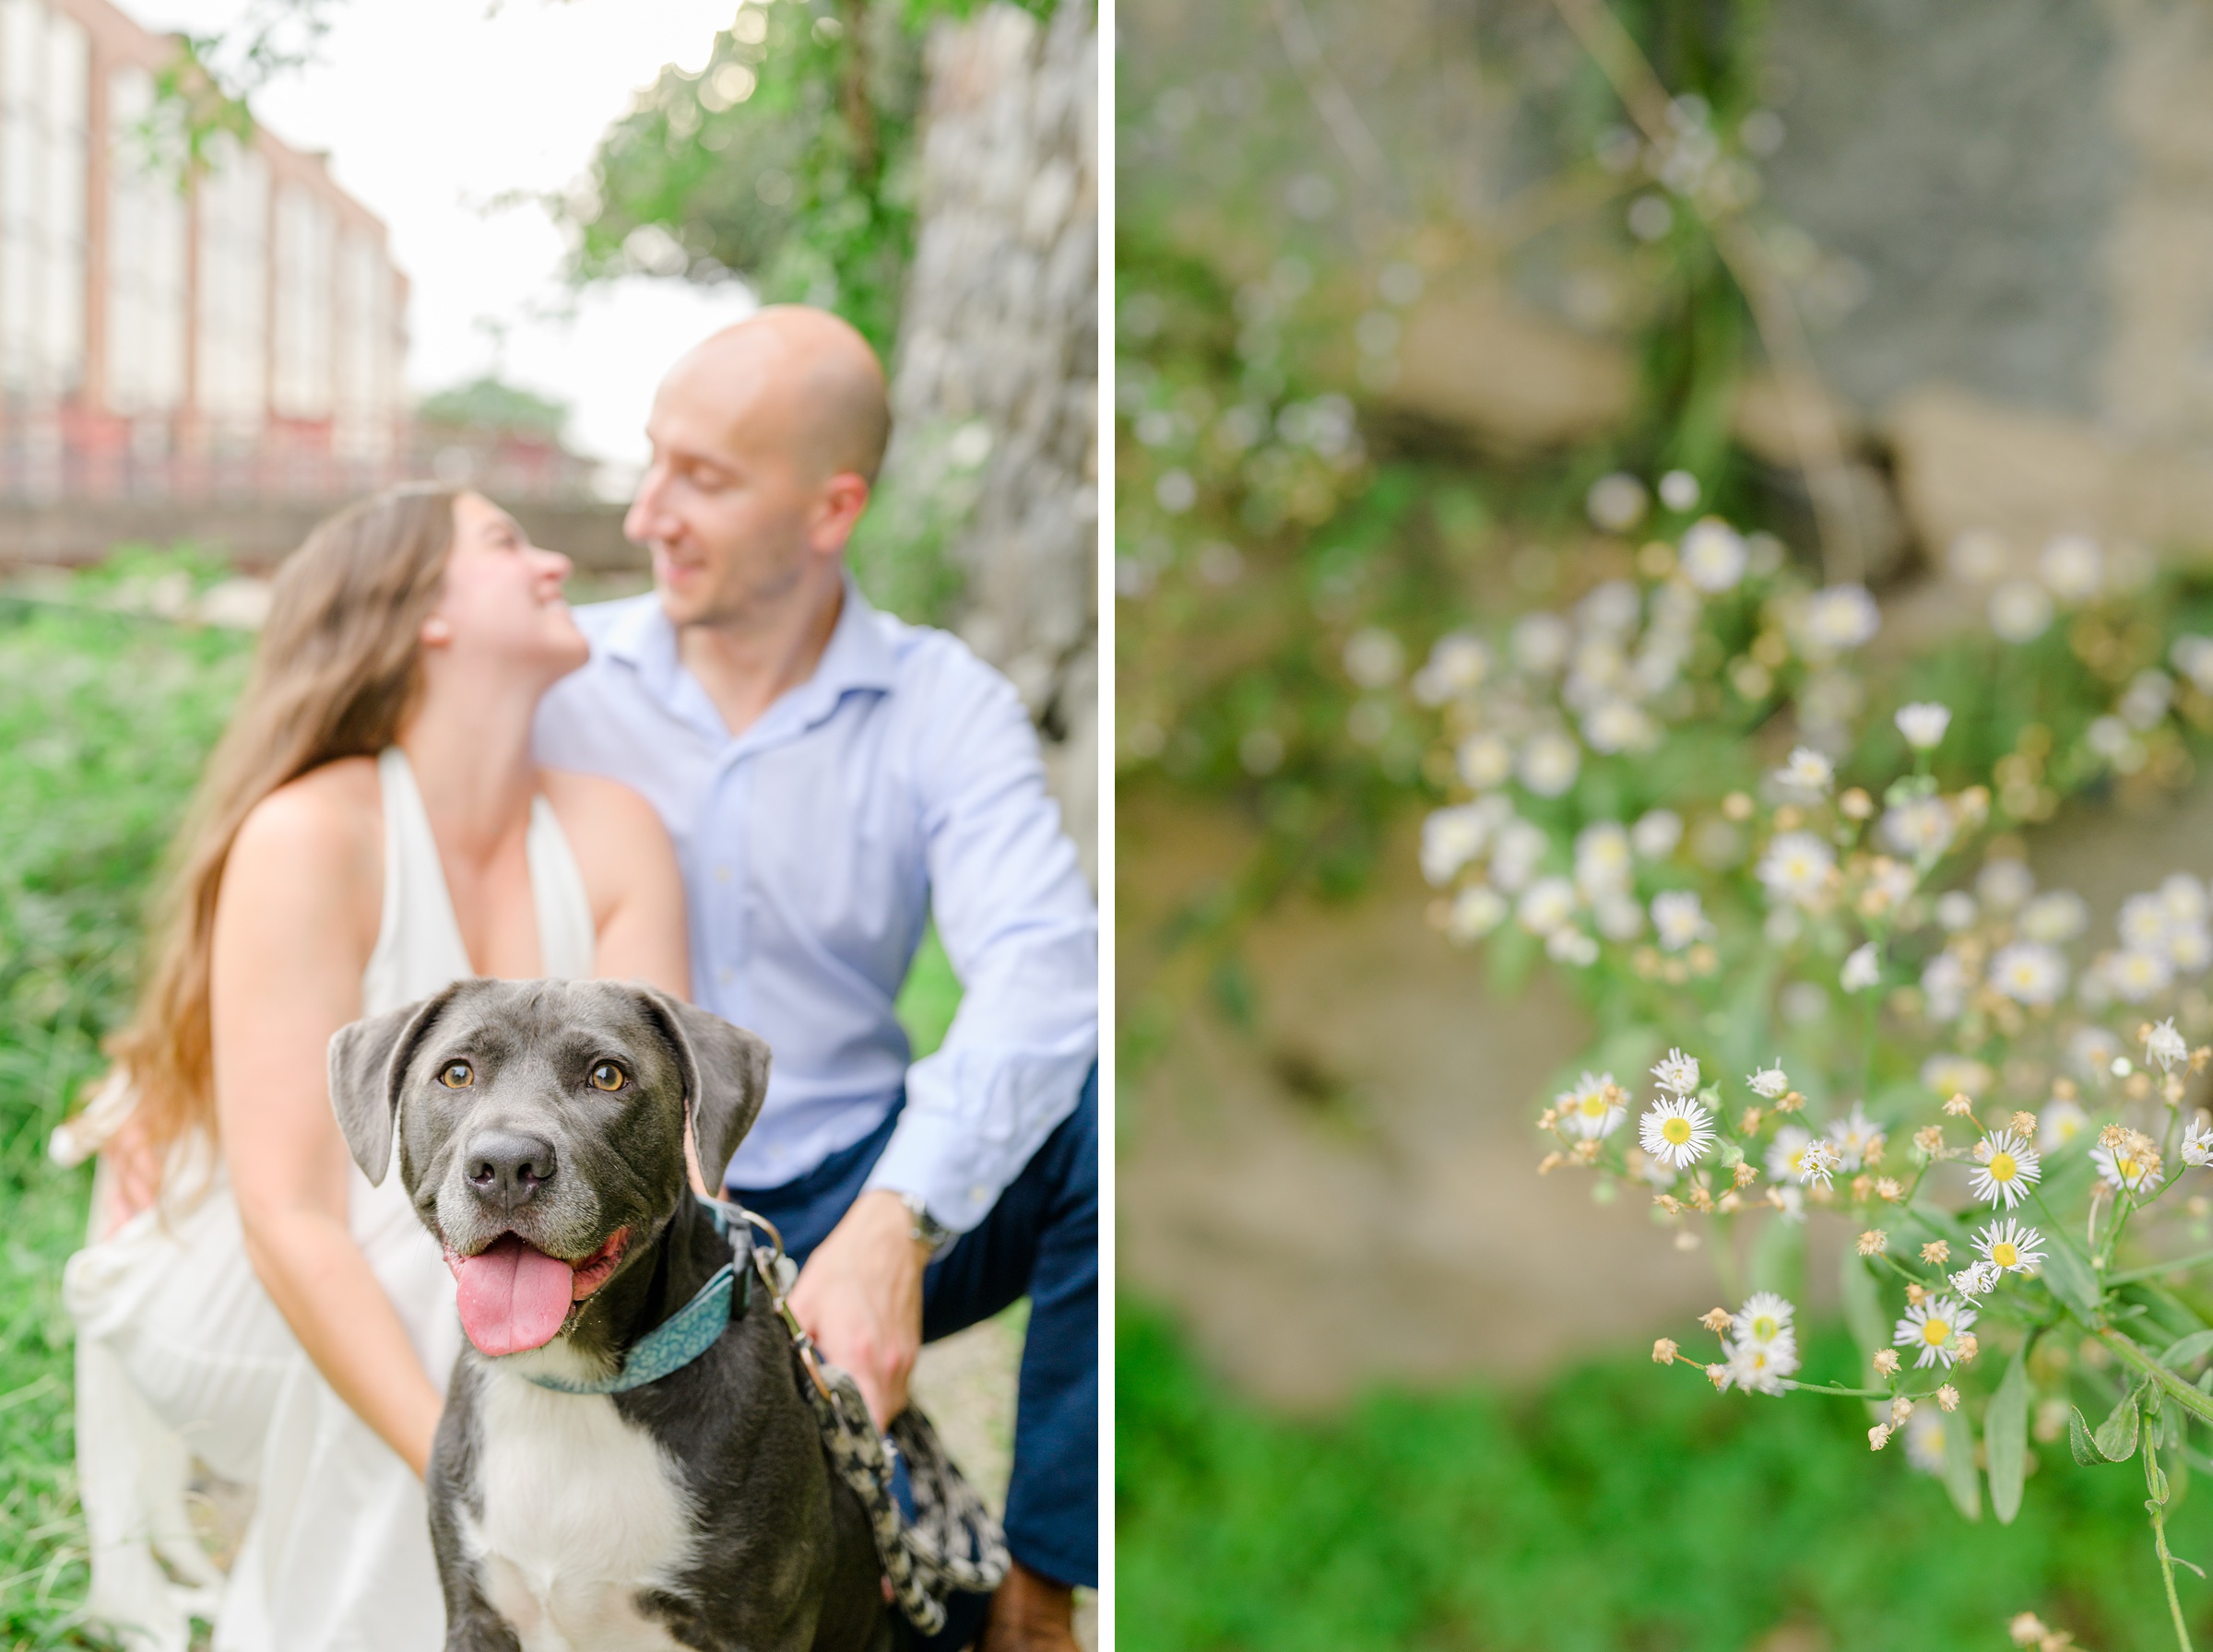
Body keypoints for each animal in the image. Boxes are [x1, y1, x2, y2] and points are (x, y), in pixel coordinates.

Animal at [332, 982, 885, 1652]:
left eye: (608, 1076)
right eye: (457, 1073)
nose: (507, 1164)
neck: (574, 1387)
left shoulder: (753, 1628)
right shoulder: (475, 1611)